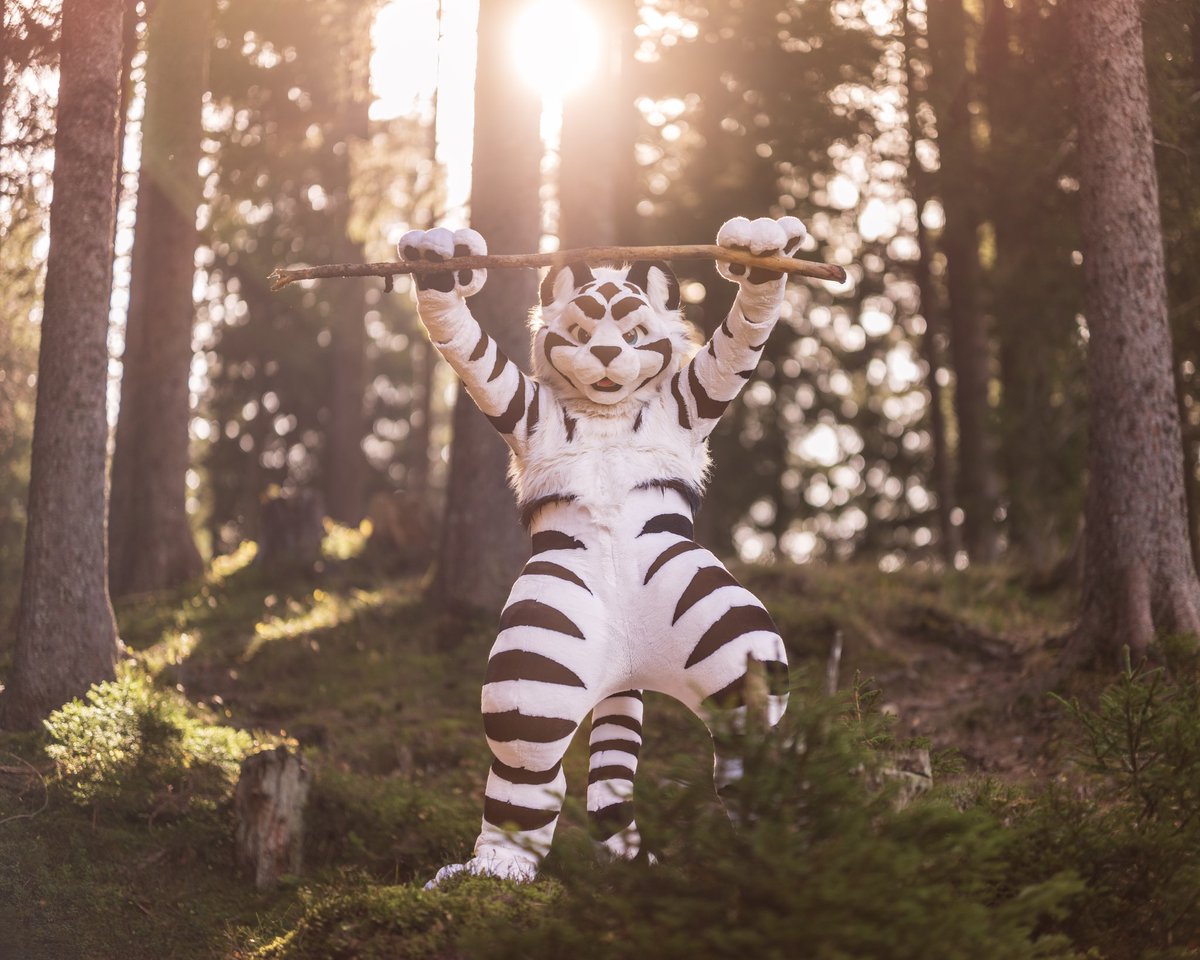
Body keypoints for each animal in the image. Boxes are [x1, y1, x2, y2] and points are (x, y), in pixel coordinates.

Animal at [396, 215, 806, 886]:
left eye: (635, 332)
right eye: (583, 333)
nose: (610, 354)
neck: (608, 411)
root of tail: (628, 666)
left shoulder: (688, 403)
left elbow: (738, 341)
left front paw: (761, 251)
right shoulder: (525, 410)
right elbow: (472, 351)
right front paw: (438, 262)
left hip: (721, 629)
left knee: (747, 720)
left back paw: (762, 844)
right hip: (543, 648)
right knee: (527, 756)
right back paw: (497, 871)